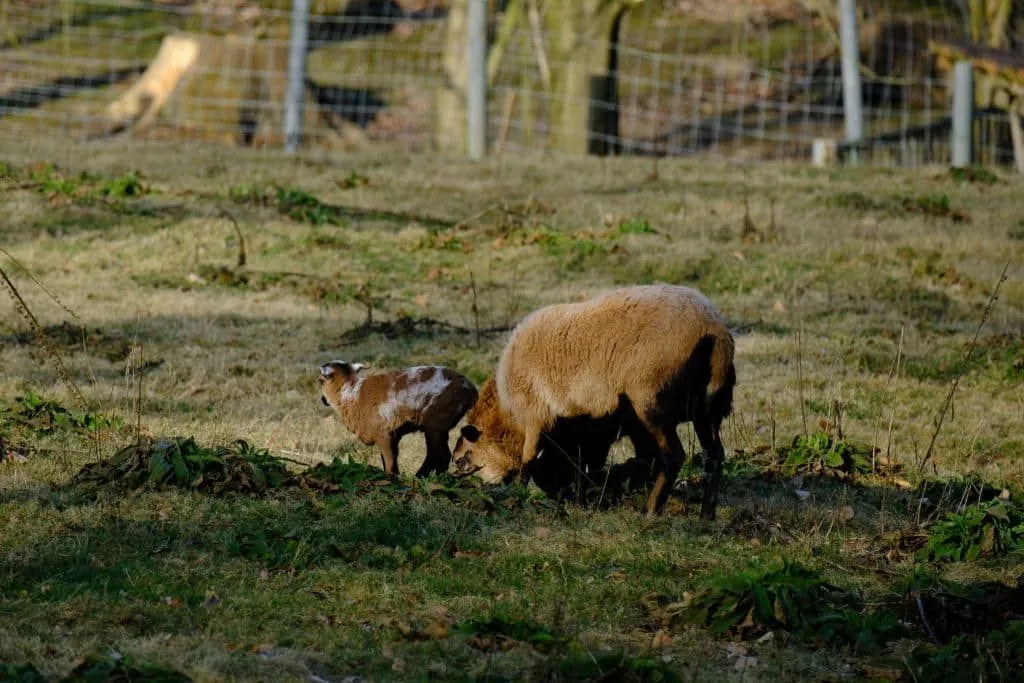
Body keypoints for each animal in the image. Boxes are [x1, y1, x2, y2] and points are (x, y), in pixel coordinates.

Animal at [318, 360, 479, 478]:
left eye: (320, 381)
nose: (323, 400)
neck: (350, 393)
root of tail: (470, 390)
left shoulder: (384, 433)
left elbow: (389, 461)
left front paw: (391, 479)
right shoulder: (393, 435)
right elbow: (389, 460)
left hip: (436, 421)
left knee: (440, 455)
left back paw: (420, 477)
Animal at [494, 284, 736, 519]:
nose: (563, 499)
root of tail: (714, 330)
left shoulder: (535, 416)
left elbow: (528, 460)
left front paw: (518, 498)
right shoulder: (597, 430)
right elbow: (592, 463)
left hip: (651, 402)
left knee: (674, 455)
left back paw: (650, 511)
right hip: (707, 409)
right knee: (714, 454)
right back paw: (706, 515)